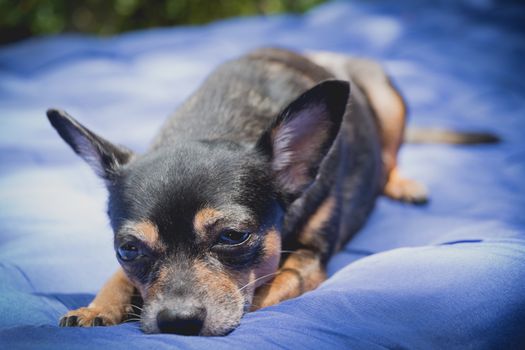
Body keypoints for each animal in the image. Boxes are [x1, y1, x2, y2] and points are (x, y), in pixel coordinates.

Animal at [45, 47, 496, 334]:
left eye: (233, 237)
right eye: (129, 250)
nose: (177, 321)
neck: (223, 124)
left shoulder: (309, 259)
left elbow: (268, 288)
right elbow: (115, 278)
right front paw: (99, 307)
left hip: (387, 99)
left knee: (390, 154)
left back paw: (402, 182)